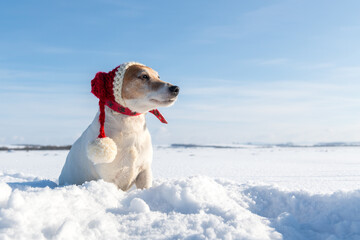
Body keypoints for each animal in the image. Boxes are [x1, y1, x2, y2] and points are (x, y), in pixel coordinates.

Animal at [58, 62, 180, 191]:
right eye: (144, 76)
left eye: (158, 76)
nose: (176, 88)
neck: (130, 127)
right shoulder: (109, 178)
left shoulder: (144, 171)